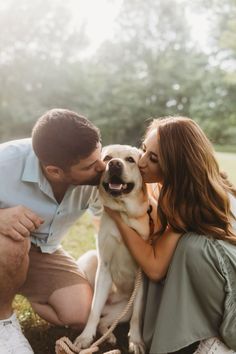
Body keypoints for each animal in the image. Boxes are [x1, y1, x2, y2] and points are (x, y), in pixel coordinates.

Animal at [76, 145, 157, 354]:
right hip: (92, 258)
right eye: (107, 158)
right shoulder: (104, 268)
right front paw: (85, 337)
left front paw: (136, 341)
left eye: (130, 160)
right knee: (100, 318)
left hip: (123, 310)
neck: (123, 213)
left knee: (107, 321)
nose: (114, 164)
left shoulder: (142, 276)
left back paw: (110, 336)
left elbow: (137, 315)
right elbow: (93, 311)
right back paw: (107, 336)